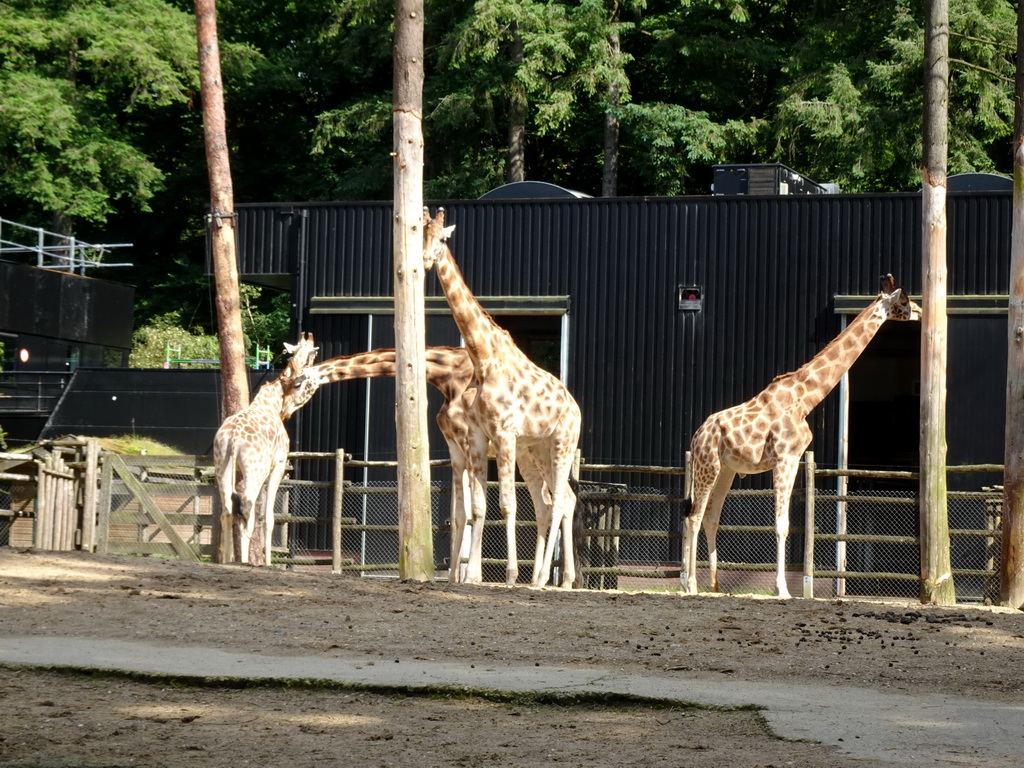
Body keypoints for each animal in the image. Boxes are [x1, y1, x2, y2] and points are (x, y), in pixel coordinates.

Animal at [212, 333, 327, 569]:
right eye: (312, 357)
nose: (317, 374)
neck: (274, 402)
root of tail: (234, 436)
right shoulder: (279, 464)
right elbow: (269, 518)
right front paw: (267, 562)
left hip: (222, 466)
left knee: (227, 510)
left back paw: (228, 561)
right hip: (256, 471)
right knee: (247, 509)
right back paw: (244, 562)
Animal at [419, 208, 585, 589]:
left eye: (442, 239)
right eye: (419, 233)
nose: (423, 260)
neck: (483, 359)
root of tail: (576, 407)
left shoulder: (503, 434)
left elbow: (506, 505)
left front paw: (506, 575)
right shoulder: (478, 438)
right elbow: (476, 507)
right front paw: (470, 576)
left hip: (562, 443)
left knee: (558, 502)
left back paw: (544, 577)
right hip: (536, 450)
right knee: (555, 501)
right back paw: (552, 579)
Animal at [684, 276, 925, 602]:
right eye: (904, 300)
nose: (921, 313)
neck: (806, 397)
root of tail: (696, 436)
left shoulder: (794, 459)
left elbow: (786, 523)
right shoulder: (784, 458)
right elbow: (781, 525)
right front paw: (783, 590)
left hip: (727, 470)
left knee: (710, 517)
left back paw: (715, 586)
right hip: (707, 466)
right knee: (694, 517)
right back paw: (690, 584)